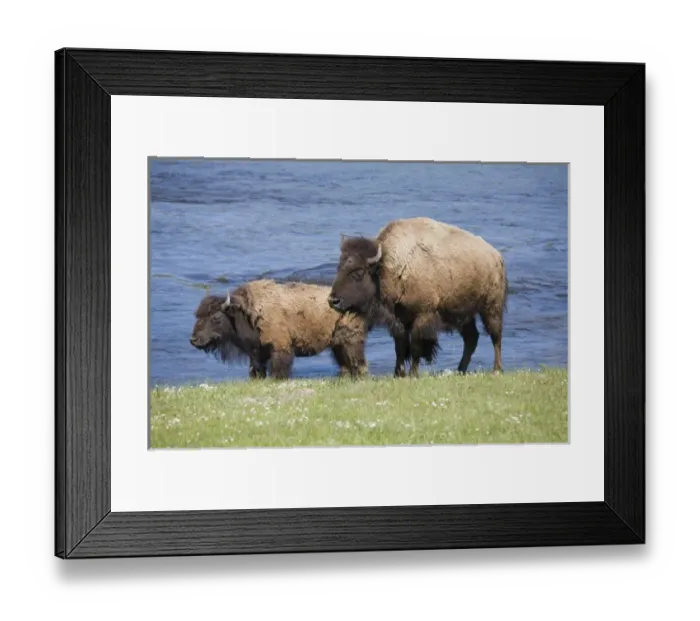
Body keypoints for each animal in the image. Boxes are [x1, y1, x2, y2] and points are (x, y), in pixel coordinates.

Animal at [190, 279, 368, 380]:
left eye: (216, 317)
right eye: (198, 316)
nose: (194, 340)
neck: (248, 313)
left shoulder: (280, 349)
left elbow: (278, 371)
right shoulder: (256, 355)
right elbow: (256, 371)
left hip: (351, 342)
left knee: (358, 363)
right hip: (337, 346)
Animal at [328, 217, 507, 376]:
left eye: (358, 272)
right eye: (339, 267)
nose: (333, 301)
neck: (388, 267)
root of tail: (496, 256)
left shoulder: (422, 316)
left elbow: (415, 347)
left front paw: (413, 374)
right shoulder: (398, 320)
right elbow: (400, 348)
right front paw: (398, 374)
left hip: (491, 307)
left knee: (495, 336)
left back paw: (496, 370)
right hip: (463, 314)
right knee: (471, 338)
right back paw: (460, 370)